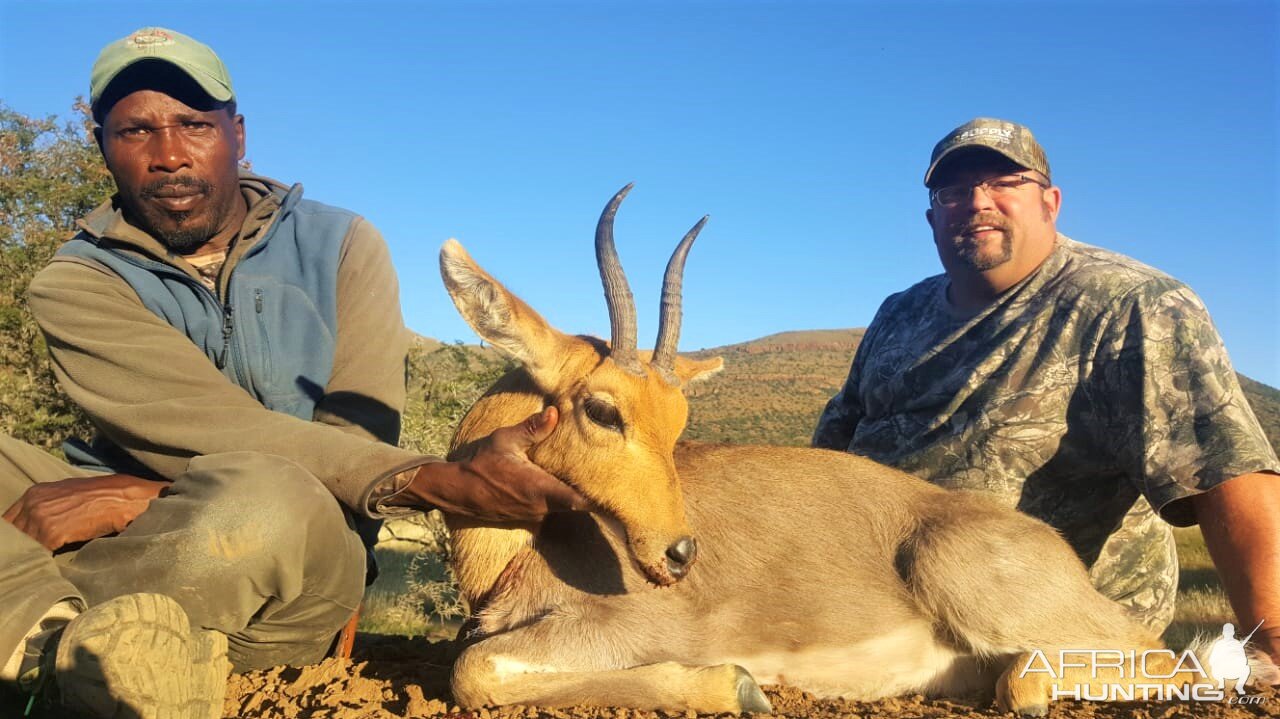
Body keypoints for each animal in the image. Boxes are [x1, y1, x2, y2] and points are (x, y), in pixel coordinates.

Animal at [440, 184, 1198, 711]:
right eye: (603, 410)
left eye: (678, 422)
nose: (679, 553)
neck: (517, 553)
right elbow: (473, 665)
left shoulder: (635, 627)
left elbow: (471, 669)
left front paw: (738, 685)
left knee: (1153, 662)